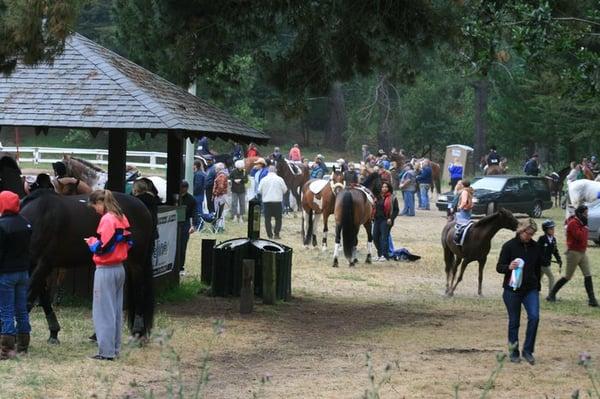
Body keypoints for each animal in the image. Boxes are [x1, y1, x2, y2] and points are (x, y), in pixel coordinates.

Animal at [19, 191, 156, 344]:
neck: (40, 218)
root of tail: (142, 206)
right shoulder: (36, 266)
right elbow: (42, 299)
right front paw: (53, 333)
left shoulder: (44, 264)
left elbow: (28, 298)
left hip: (136, 262)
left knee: (139, 291)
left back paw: (138, 332)